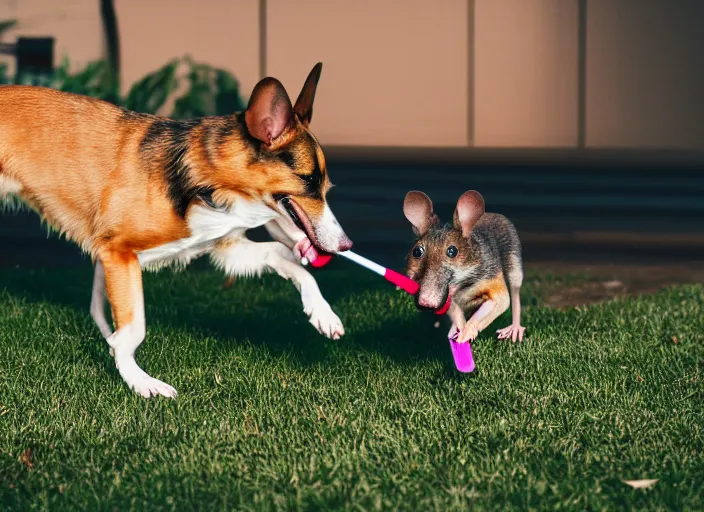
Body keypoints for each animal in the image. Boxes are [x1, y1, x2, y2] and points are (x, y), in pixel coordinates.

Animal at [0, 63, 352, 400]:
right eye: (308, 180)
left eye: (325, 185)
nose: (346, 245)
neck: (210, 181)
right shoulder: (118, 255)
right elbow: (134, 330)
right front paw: (139, 382)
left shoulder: (225, 247)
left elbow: (285, 259)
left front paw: (322, 312)